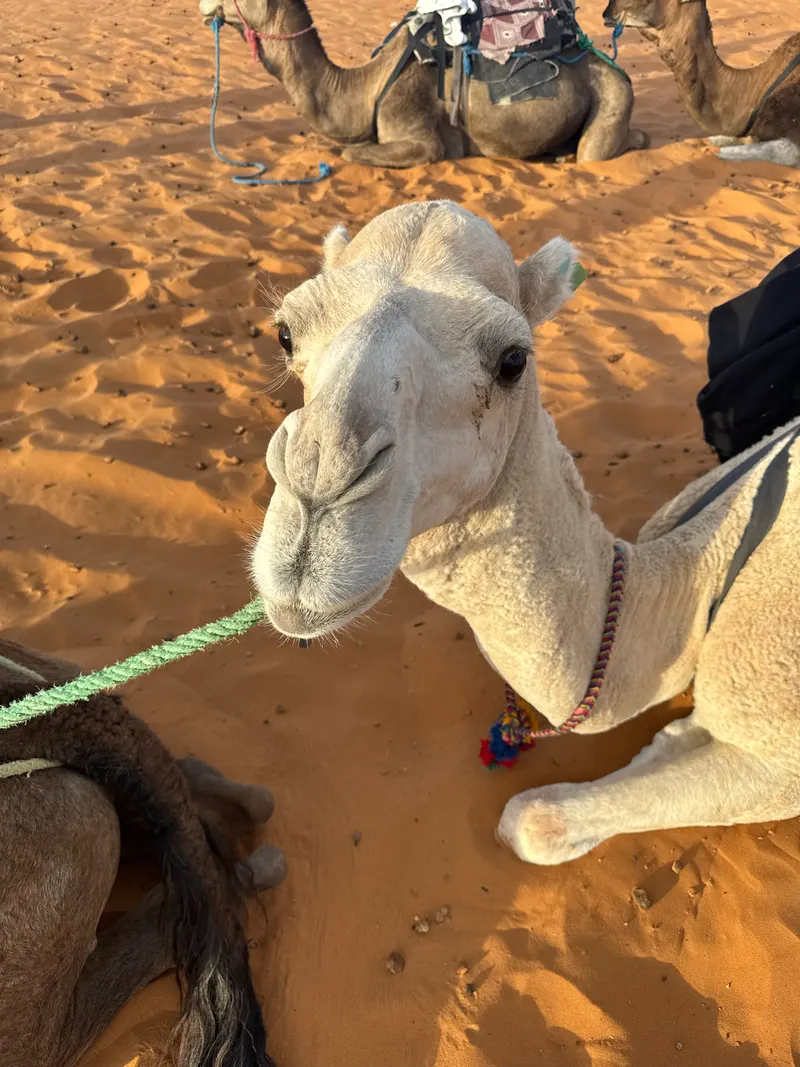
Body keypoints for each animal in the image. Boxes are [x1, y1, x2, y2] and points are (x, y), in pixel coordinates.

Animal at [198, 0, 649, 165]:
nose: (204, 6)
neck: (364, 89)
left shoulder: (413, 126)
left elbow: (352, 153)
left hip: (614, 94)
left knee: (597, 151)